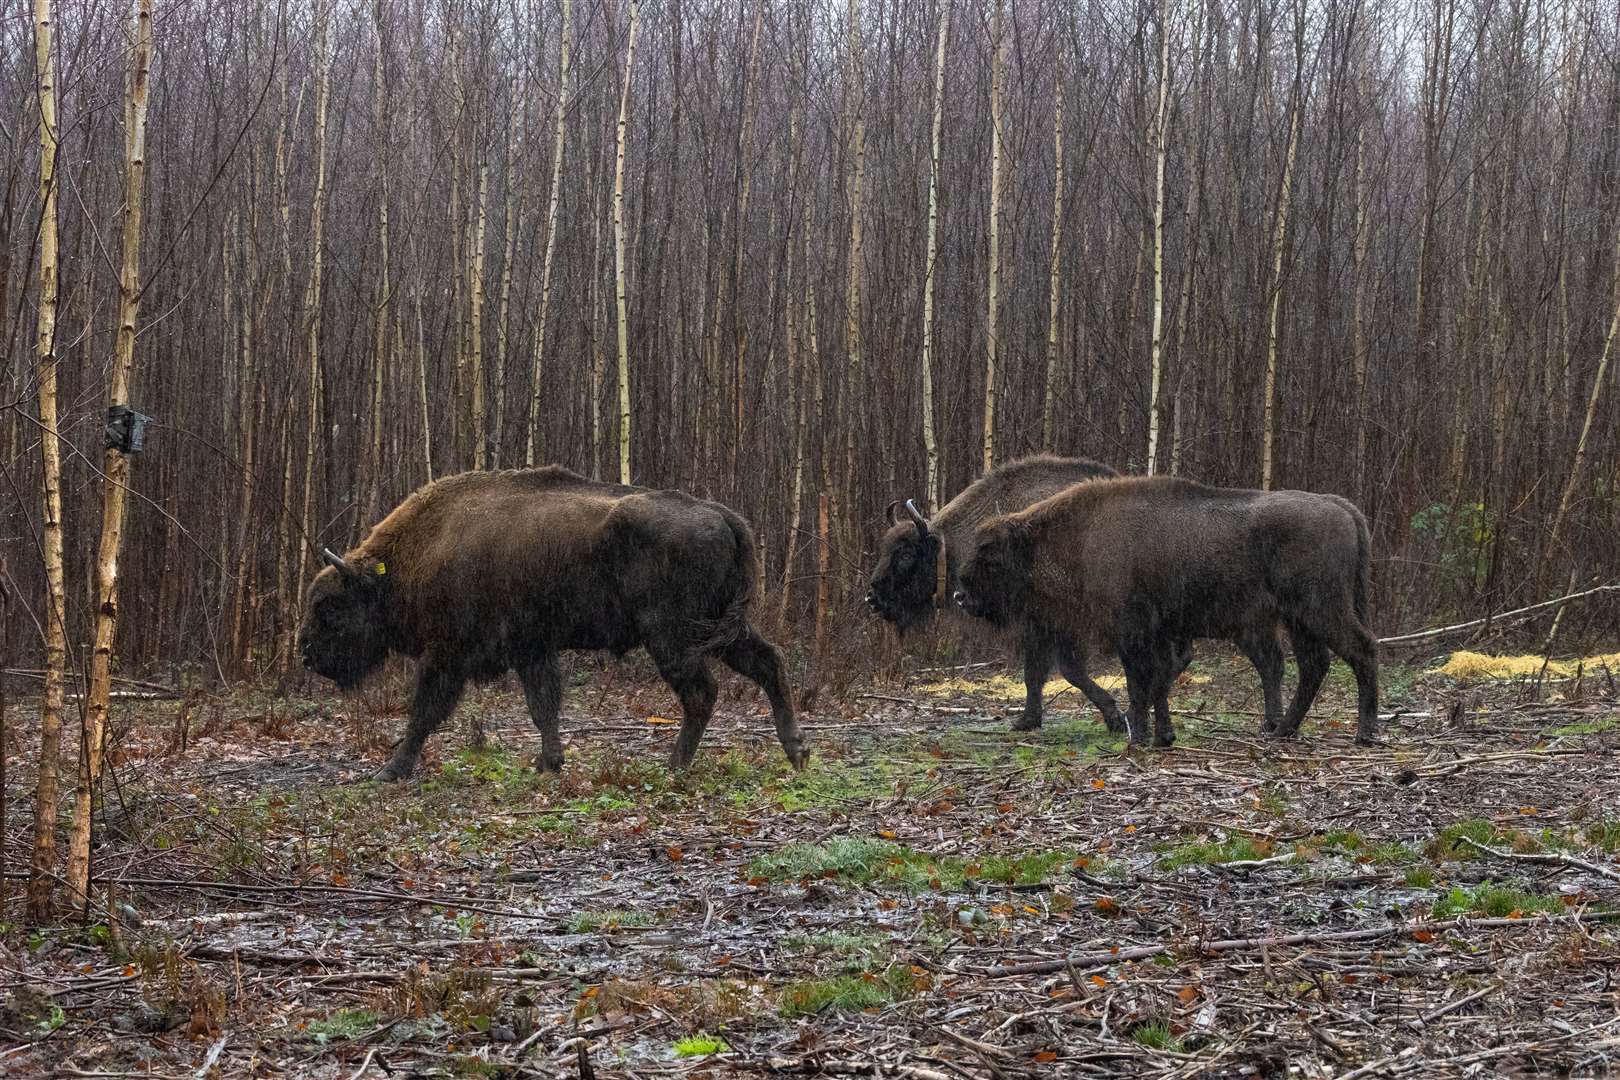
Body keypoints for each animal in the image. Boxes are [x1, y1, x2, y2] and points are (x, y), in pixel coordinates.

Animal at [298, 469, 810, 780]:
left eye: (331, 607)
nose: (306, 653)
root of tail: (722, 515)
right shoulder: (533, 650)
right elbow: (543, 706)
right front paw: (549, 762)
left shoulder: (447, 654)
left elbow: (424, 710)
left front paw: (391, 770)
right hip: (719, 630)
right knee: (769, 663)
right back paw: (797, 751)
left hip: (672, 636)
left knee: (703, 692)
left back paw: (675, 764)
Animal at [861, 456, 1192, 735]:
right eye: (885, 548)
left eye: (905, 554)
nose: (873, 597)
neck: (950, 546)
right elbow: (1042, 672)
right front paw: (1028, 720)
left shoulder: (1049, 622)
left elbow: (1060, 671)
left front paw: (1112, 717)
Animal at [952, 476, 1386, 748]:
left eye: (990, 556)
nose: (960, 594)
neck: (1076, 537)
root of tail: (1339, 506)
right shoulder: (1155, 633)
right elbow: (1156, 681)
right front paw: (1161, 734)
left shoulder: (1131, 631)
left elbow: (1141, 681)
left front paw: (1141, 733)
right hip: (1297, 619)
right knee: (1313, 665)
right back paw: (1283, 731)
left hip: (1320, 609)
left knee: (1361, 649)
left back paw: (1364, 733)